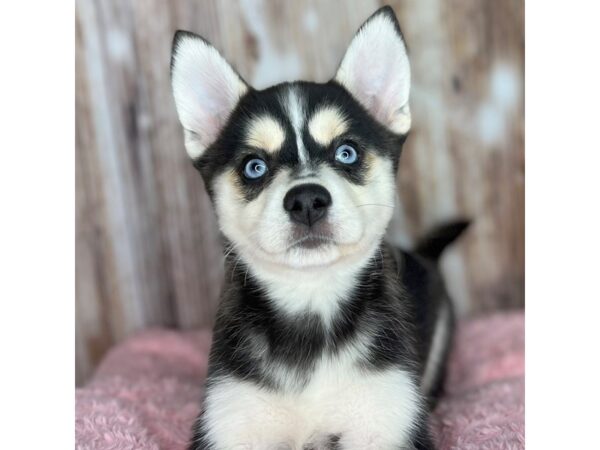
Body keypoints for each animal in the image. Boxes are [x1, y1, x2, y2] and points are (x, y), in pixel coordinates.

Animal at [169, 7, 468, 450]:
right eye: (254, 166)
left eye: (346, 152)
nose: (307, 200)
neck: (311, 301)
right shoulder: (232, 418)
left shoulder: (386, 416)